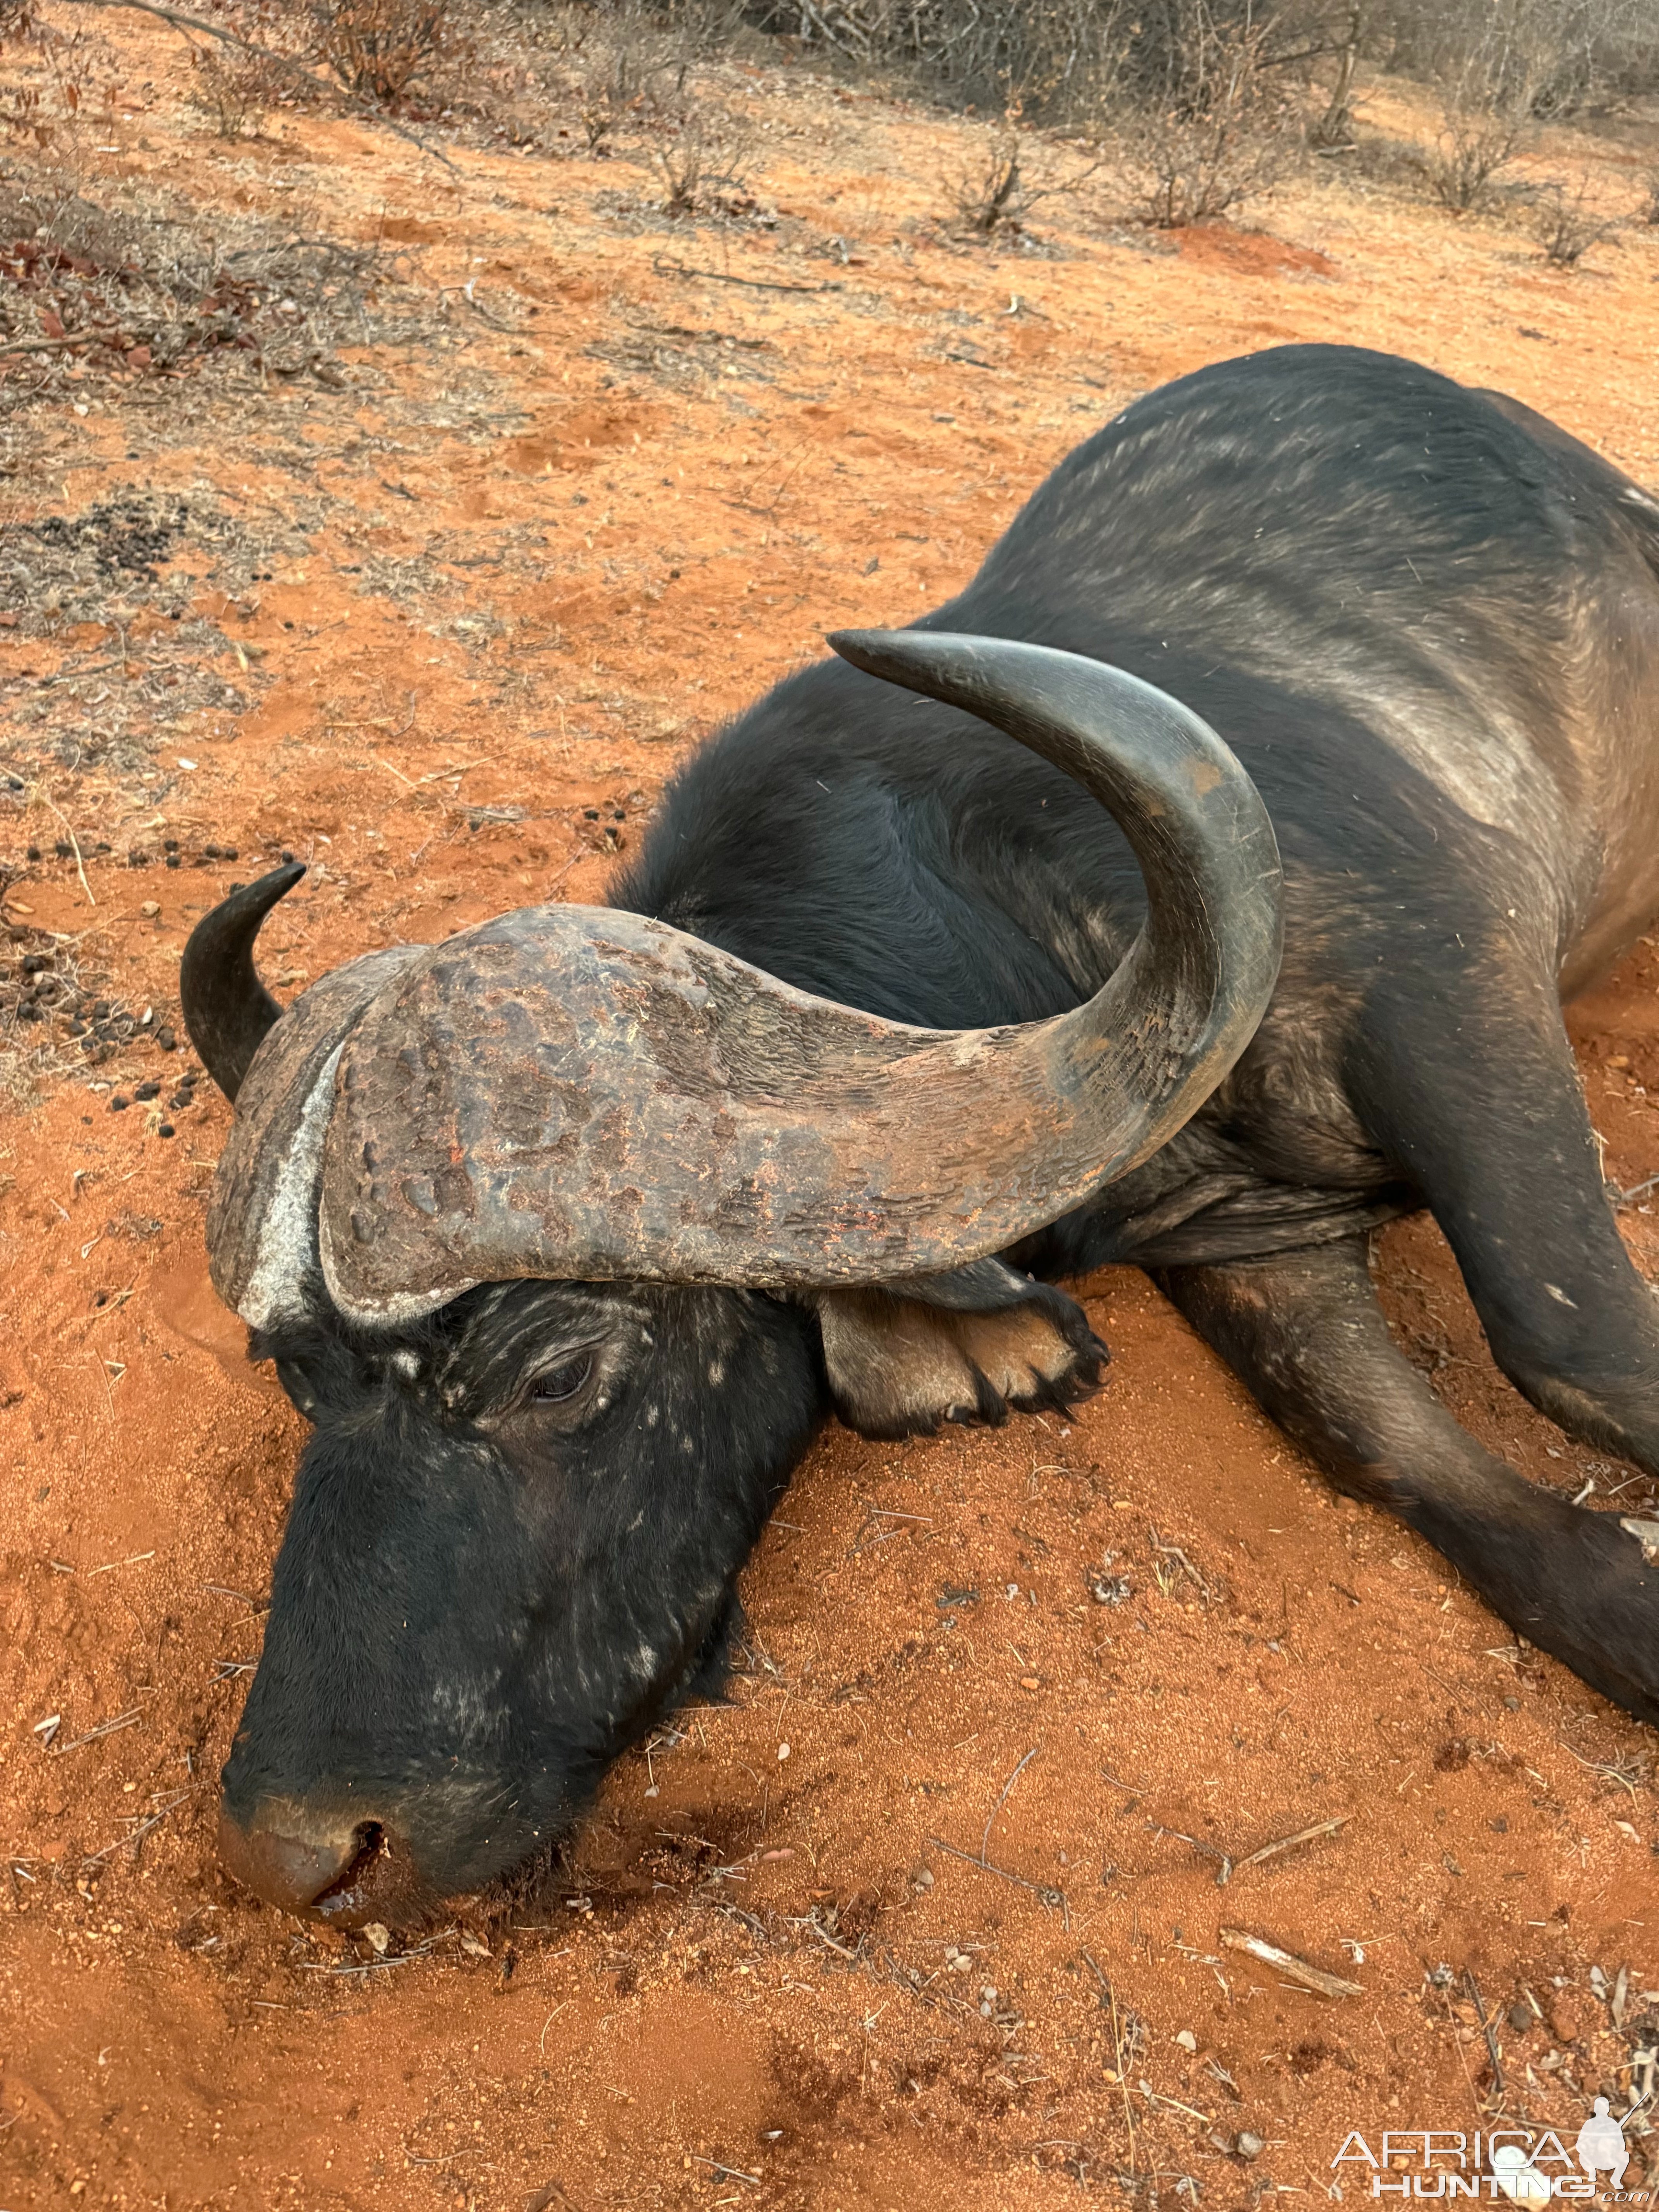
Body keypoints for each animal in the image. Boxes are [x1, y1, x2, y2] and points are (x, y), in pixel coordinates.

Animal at [181, 336, 1659, 1929]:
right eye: (295, 1377)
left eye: (557, 1372)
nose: (310, 1847)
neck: (1024, 907)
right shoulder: (1255, 1246)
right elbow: (1408, 1466)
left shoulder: (1450, 980)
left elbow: (1571, 1343)